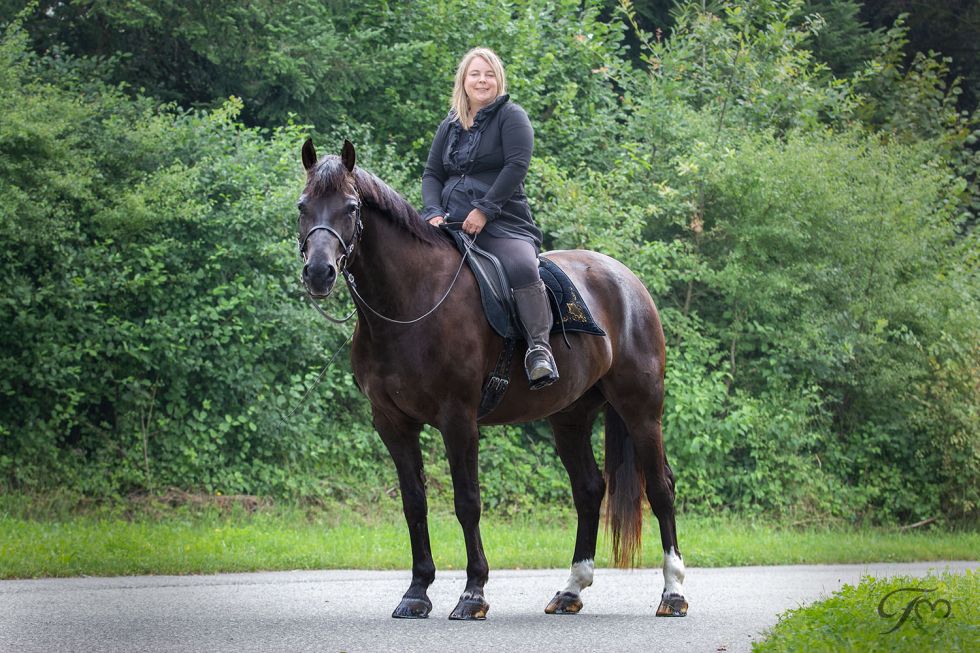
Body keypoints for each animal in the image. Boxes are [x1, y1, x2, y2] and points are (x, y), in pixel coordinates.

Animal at [298, 140, 688, 620]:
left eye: (351, 208)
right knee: (588, 489)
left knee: (661, 487)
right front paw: (416, 592)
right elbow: (414, 504)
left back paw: (673, 592)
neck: (411, 304)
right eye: (303, 205)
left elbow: (467, 502)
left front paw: (473, 594)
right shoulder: (392, 423)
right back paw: (571, 589)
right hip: (571, 418)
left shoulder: (458, 419)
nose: (319, 272)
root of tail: (627, 282)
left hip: (641, 411)